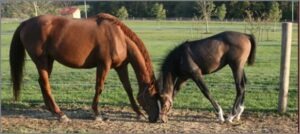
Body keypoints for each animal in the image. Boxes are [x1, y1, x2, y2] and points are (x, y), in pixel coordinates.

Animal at [8, 13, 159, 122]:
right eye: (152, 96)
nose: (155, 118)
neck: (119, 37)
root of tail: (26, 23)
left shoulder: (121, 67)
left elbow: (128, 89)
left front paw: (139, 113)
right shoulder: (103, 65)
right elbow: (99, 87)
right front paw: (97, 114)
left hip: (48, 61)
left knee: (42, 83)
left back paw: (52, 111)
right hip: (42, 61)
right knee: (45, 84)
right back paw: (60, 114)